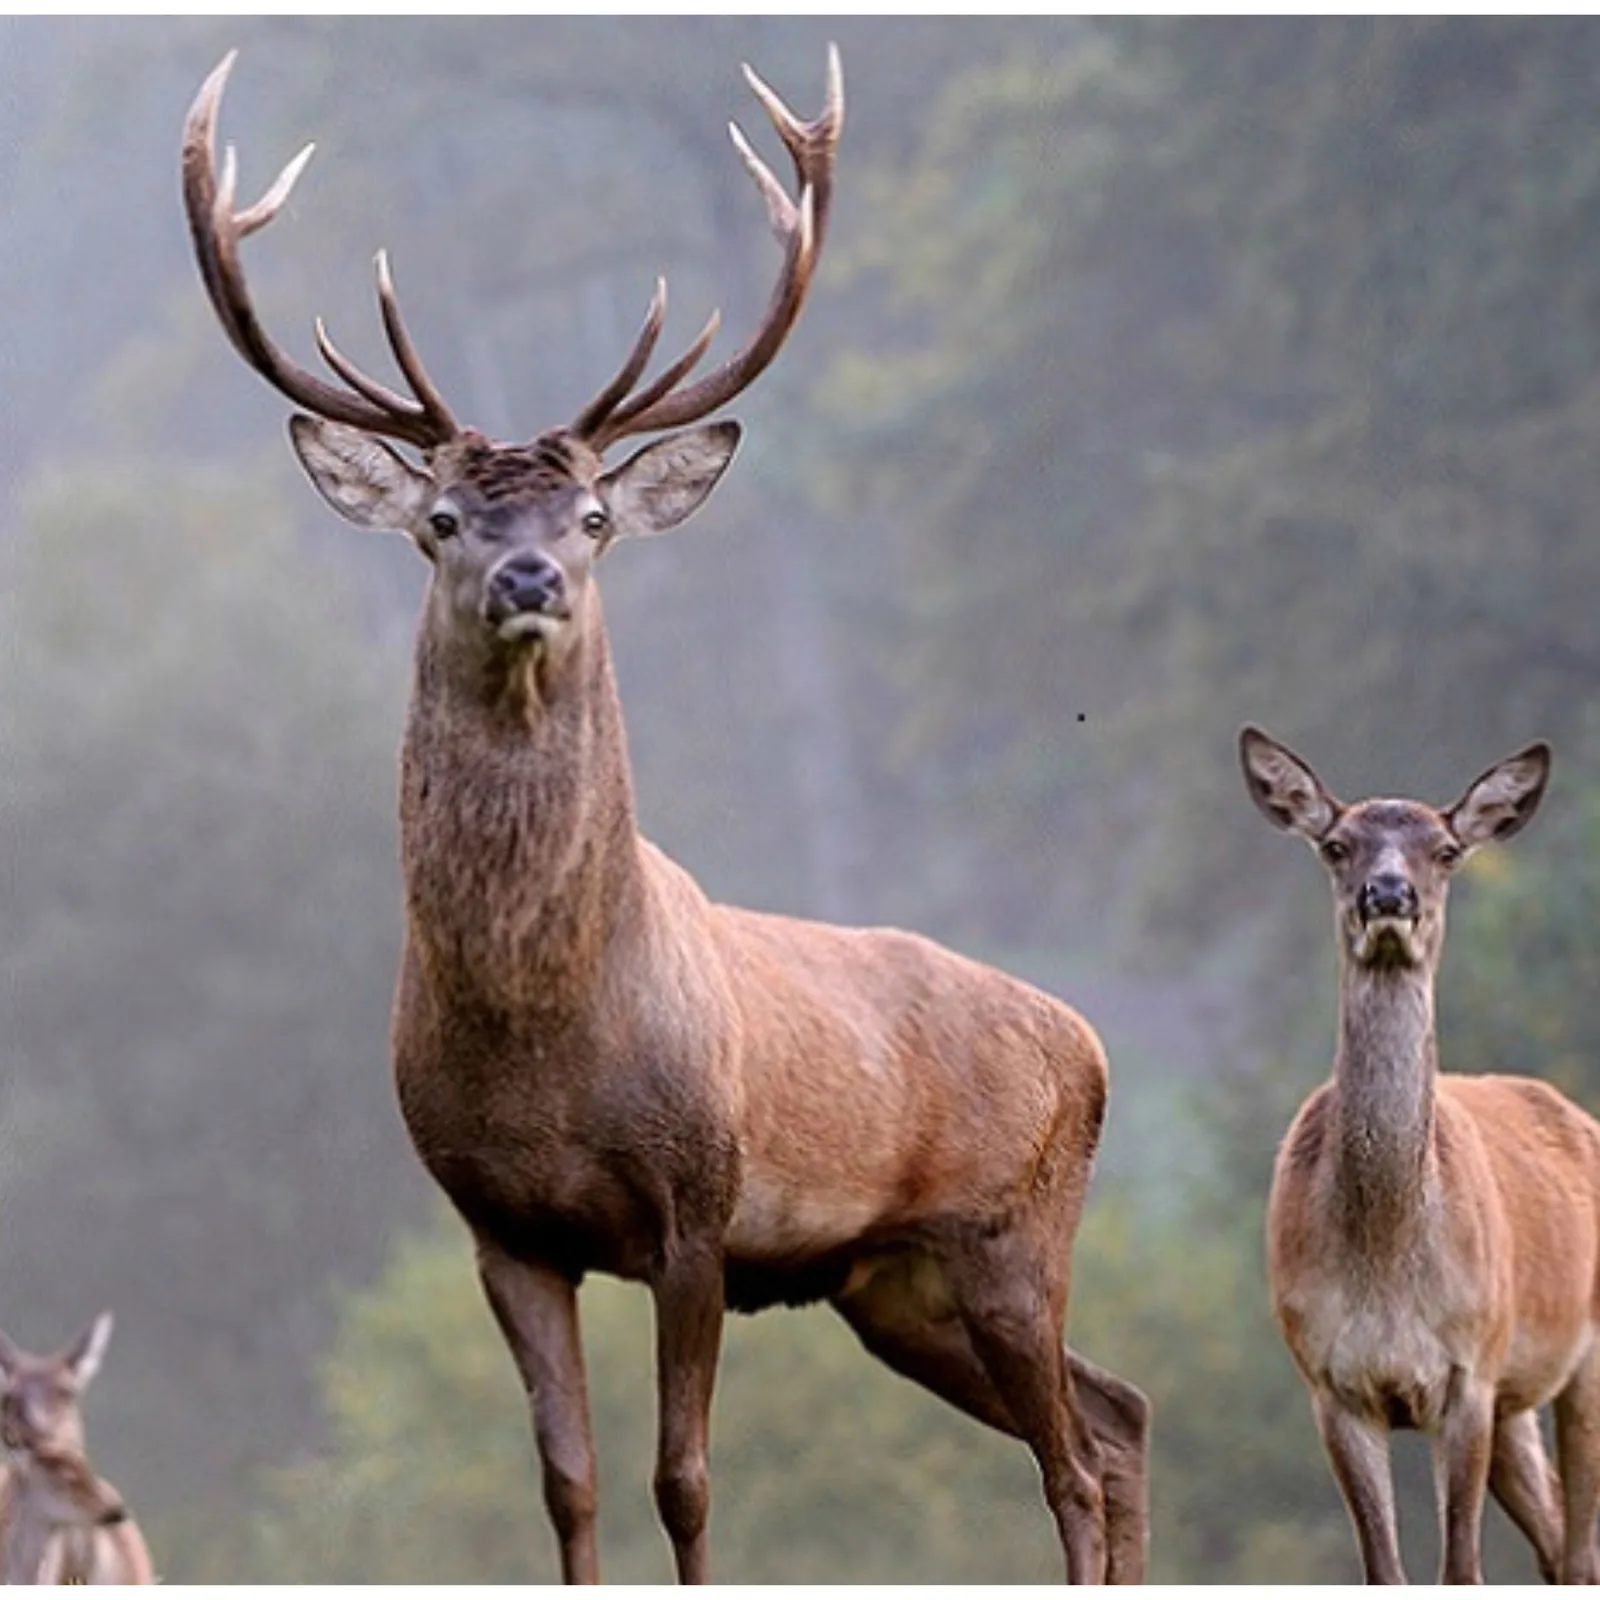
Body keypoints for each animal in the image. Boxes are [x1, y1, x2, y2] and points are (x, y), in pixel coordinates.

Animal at [181, 49, 1150, 1586]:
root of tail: (1090, 1044)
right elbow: (569, 1480)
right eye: (441, 521)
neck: (547, 1040)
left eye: (591, 517)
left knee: (1070, 1458)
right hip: (898, 1288)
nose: (528, 578)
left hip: (1014, 1231)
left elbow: (683, 1480)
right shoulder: (501, 1226)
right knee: (1117, 1417)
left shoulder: (700, 1206)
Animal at [1240, 725, 1600, 1584]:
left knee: (1580, 1550)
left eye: (1445, 850)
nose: (1389, 896)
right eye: (1336, 845)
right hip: (1515, 1402)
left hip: (1576, 1355)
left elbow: (1461, 1567)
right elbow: (1385, 1570)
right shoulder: (1331, 1382)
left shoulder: (1469, 1372)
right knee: (1558, 1540)